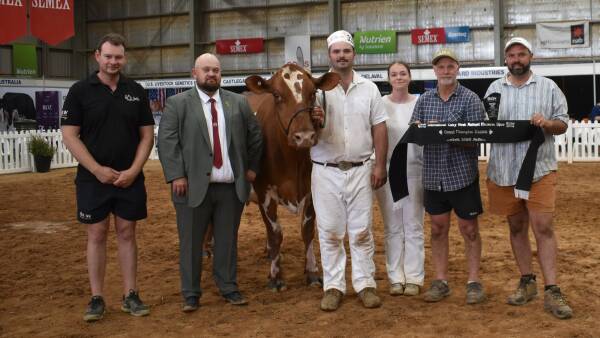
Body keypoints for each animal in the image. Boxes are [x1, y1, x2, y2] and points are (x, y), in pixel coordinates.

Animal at [243, 64, 338, 292]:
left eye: (313, 93)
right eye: (277, 95)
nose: (304, 137)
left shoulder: (311, 190)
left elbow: (307, 230)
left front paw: (312, 272)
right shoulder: (264, 193)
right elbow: (276, 233)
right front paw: (276, 276)